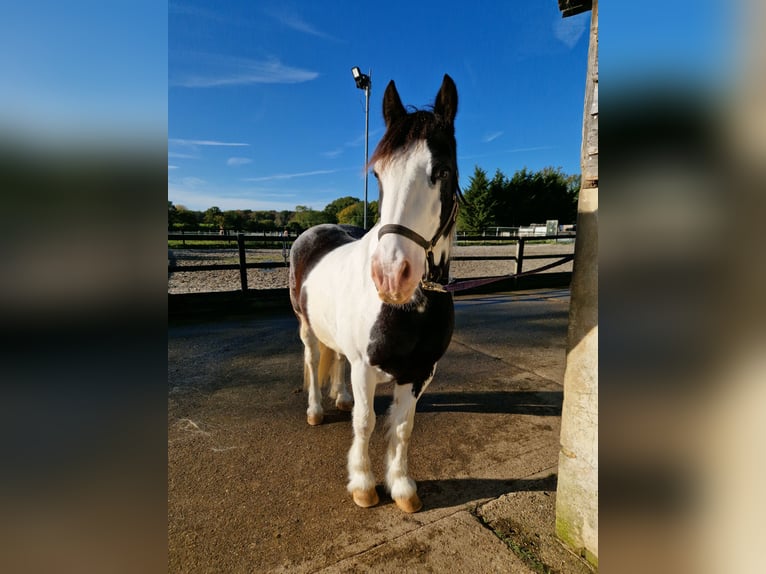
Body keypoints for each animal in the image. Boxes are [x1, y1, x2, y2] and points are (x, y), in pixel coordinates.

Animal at [288, 75, 460, 512]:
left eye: (443, 170)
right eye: (379, 174)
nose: (391, 275)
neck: (412, 309)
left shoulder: (419, 373)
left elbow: (402, 427)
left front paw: (401, 488)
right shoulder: (366, 368)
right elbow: (365, 424)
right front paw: (364, 485)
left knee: (337, 362)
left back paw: (341, 397)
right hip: (306, 328)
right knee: (313, 361)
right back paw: (316, 409)